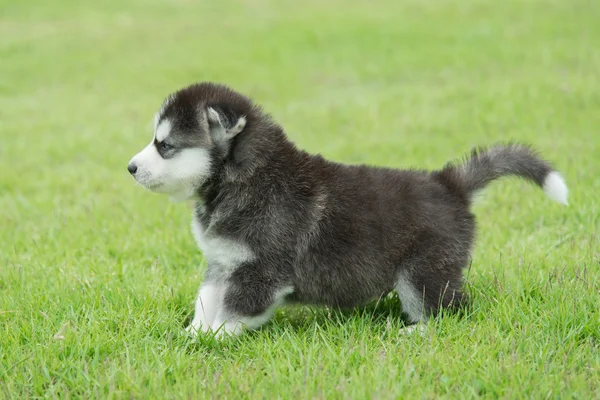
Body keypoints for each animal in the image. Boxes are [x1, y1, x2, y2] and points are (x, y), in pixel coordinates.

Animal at [126, 82, 568, 338]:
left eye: (165, 146)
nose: (129, 168)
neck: (243, 181)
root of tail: (448, 184)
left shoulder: (261, 272)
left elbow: (234, 312)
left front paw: (213, 338)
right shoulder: (223, 263)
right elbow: (205, 301)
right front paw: (192, 334)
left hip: (422, 273)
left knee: (450, 311)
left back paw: (416, 333)